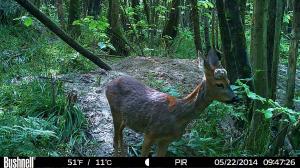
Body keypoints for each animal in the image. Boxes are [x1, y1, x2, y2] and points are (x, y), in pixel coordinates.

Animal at [105, 48, 239, 156]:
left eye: (229, 81)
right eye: (219, 84)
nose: (235, 98)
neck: (178, 115)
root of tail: (109, 84)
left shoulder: (166, 140)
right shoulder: (150, 133)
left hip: (126, 118)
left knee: (120, 134)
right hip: (114, 111)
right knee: (115, 138)